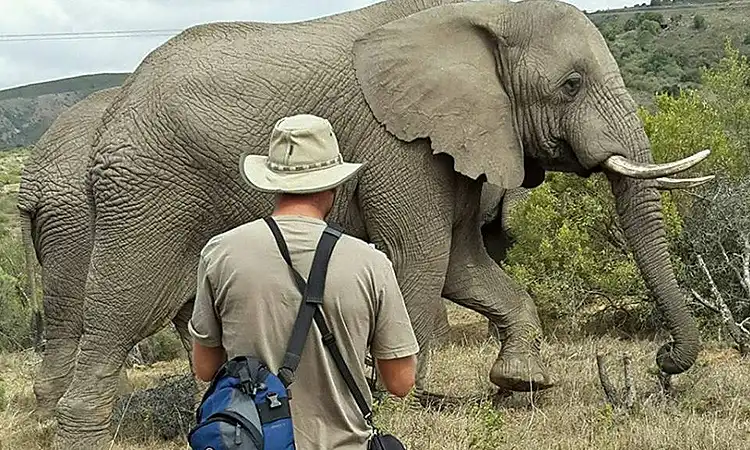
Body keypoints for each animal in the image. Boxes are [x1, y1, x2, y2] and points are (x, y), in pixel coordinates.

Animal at [49, 0, 713, 446]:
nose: (661, 363)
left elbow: (463, 265)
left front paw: (520, 383)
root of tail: (113, 111)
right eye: (571, 85)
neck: (482, 14)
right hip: (145, 192)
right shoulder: (399, 144)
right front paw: (414, 407)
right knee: (121, 309)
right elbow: (421, 259)